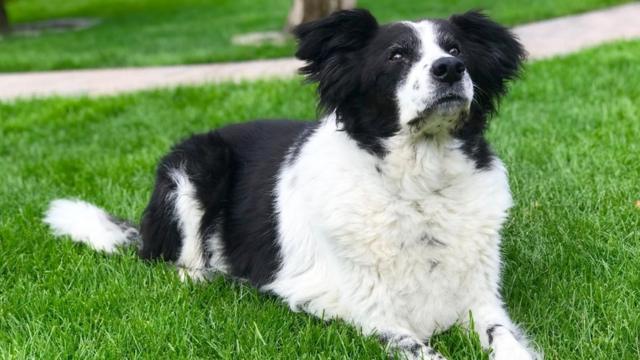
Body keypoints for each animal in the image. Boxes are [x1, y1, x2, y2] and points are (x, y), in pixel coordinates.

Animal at [43, 8, 540, 360]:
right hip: (196, 163)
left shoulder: (480, 299)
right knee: (178, 262)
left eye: (456, 49)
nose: (450, 69)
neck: (418, 187)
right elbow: (418, 347)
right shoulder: (369, 311)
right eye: (397, 55)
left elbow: (505, 338)